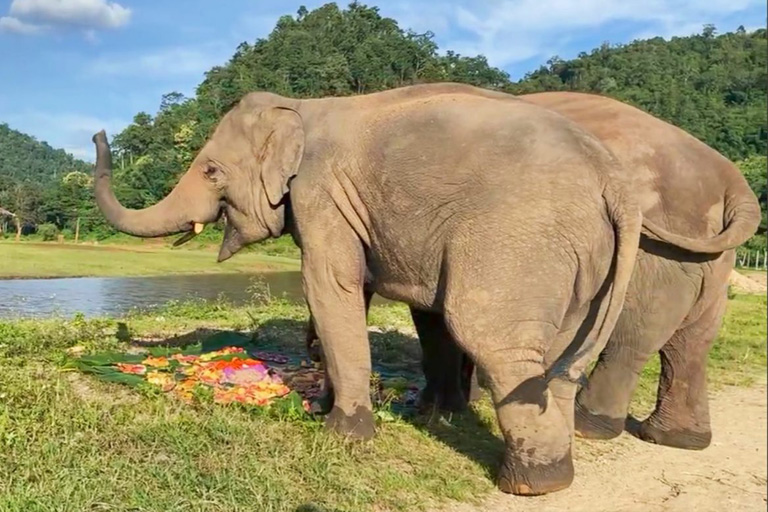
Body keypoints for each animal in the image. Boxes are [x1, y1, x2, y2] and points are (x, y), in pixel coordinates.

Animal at [87, 84, 644, 496]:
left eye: (211, 170)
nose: (96, 130)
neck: (302, 106)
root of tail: (615, 180)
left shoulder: (320, 193)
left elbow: (330, 284)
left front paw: (341, 436)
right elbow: (368, 297)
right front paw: (328, 408)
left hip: (520, 240)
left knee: (494, 341)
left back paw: (531, 484)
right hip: (583, 261)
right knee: (559, 361)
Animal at [304, 91, 760, 452]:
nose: (311, 353)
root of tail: (732, 182)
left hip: (659, 256)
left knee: (632, 338)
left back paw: (589, 426)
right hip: (705, 261)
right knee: (691, 344)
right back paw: (677, 439)